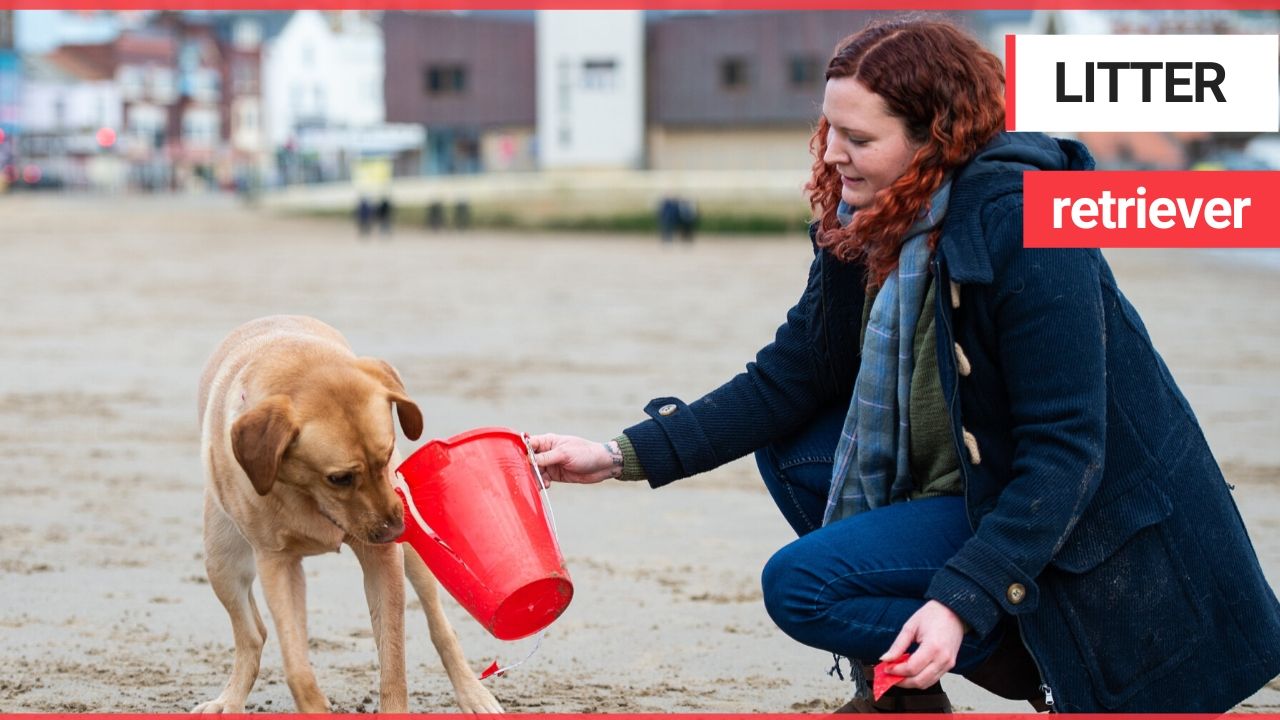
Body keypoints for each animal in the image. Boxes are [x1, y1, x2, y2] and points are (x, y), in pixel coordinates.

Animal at [197, 315, 501, 712]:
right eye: (339, 478)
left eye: (385, 458)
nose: (395, 529)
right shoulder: (277, 563)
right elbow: (297, 668)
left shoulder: (384, 557)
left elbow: (393, 662)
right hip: (221, 563)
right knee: (252, 634)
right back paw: (230, 700)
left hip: (415, 555)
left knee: (440, 626)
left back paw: (473, 693)